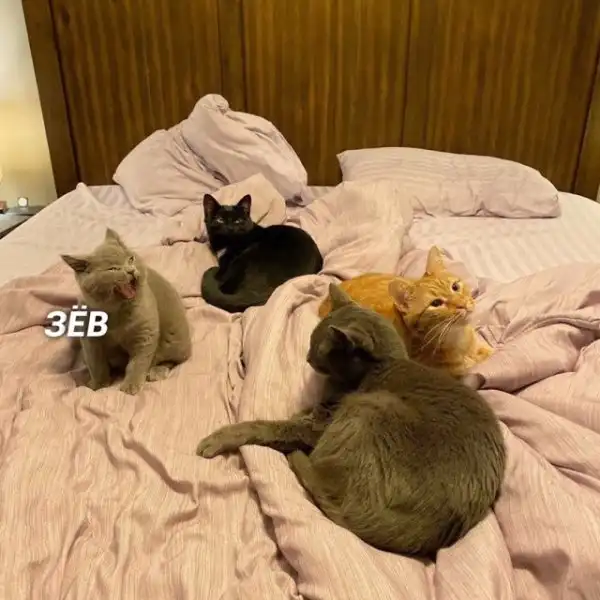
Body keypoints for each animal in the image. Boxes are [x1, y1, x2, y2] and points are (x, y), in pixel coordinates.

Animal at [61, 228, 192, 395]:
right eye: (113, 269)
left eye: (130, 259)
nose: (131, 270)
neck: (115, 311)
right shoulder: (90, 339)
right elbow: (96, 364)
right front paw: (98, 385)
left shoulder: (145, 333)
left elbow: (138, 362)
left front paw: (131, 385)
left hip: (176, 340)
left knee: (173, 360)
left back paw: (157, 371)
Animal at [196, 283, 505, 558]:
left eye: (318, 348)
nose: (307, 358)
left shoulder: (319, 426)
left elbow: (270, 426)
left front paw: (217, 439)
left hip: (369, 407)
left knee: (326, 484)